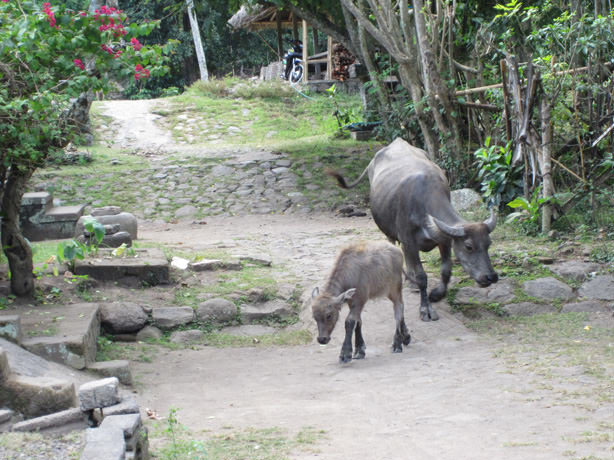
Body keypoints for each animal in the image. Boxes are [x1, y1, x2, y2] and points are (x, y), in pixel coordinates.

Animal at [330, 138, 498, 322]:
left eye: (488, 244)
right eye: (469, 246)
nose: (490, 277)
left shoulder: (444, 241)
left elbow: (446, 270)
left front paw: (437, 294)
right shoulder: (409, 240)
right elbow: (422, 276)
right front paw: (426, 309)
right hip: (391, 233)